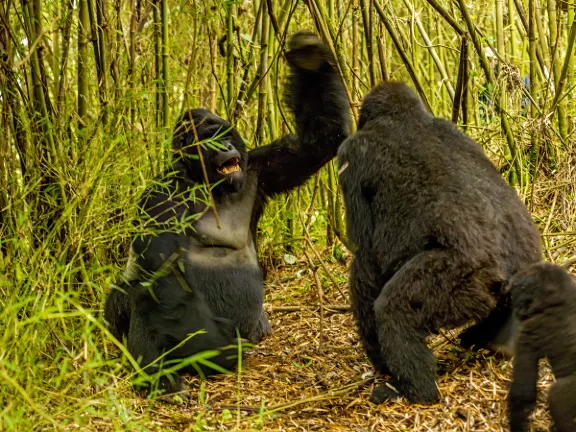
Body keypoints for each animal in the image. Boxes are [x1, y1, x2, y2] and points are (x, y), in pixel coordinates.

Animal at [103, 29, 352, 394]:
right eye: (209, 137)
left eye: (224, 133)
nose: (227, 147)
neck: (205, 181)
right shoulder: (160, 195)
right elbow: (162, 268)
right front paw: (214, 348)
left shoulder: (261, 166)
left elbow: (321, 139)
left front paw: (311, 58)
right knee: (135, 292)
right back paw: (160, 380)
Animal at [336, 80, 544, 404]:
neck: (403, 117)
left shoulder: (352, 153)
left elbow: (364, 254)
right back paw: (490, 337)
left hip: (459, 279)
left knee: (394, 308)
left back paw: (413, 391)